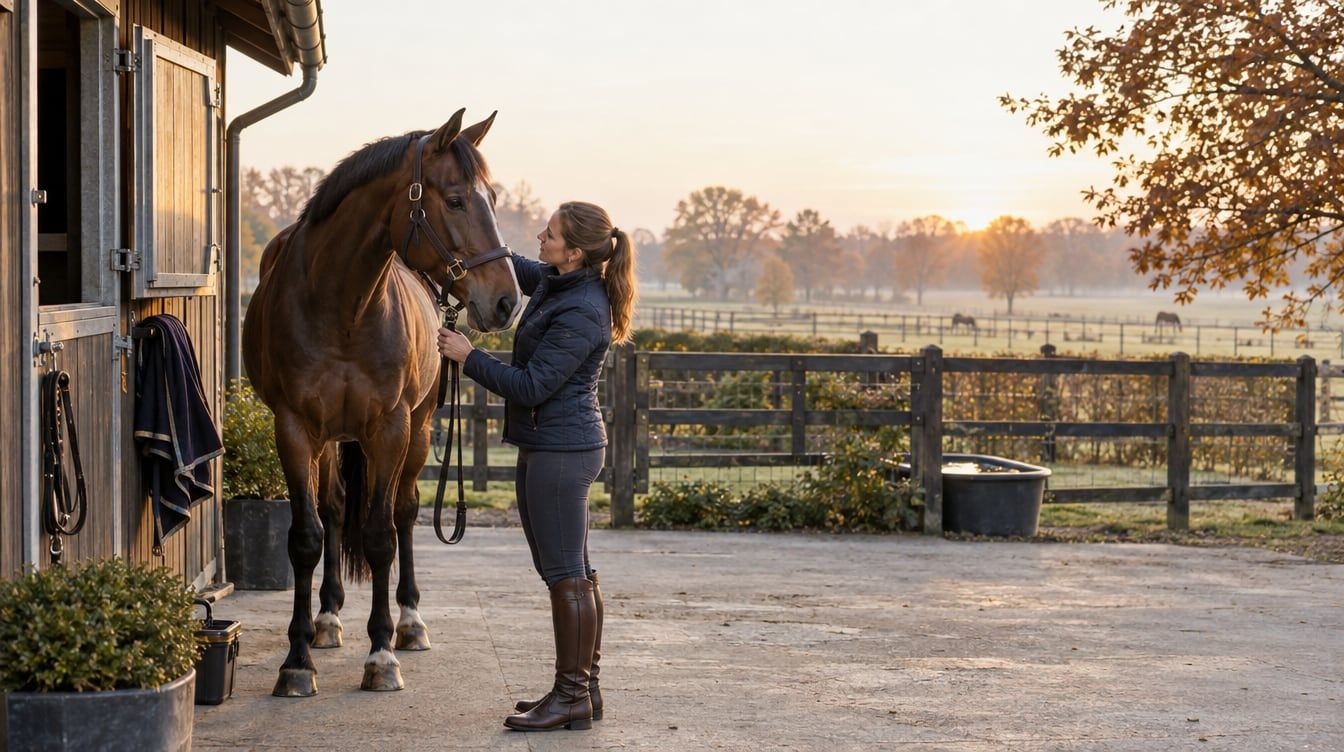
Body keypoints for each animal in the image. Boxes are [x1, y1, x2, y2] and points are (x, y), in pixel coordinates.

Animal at [242, 110, 522, 697]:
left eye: (491, 197)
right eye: (456, 199)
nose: (507, 301)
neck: (341, 307)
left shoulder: (389, 429)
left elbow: (379, 536)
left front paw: (382, 654)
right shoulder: (294, 429)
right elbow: (307, 537)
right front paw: (297, 660)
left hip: (417, 430)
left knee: (405, 512)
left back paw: (410, 624)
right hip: (331, 440)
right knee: (332, 509)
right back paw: (327, 619)